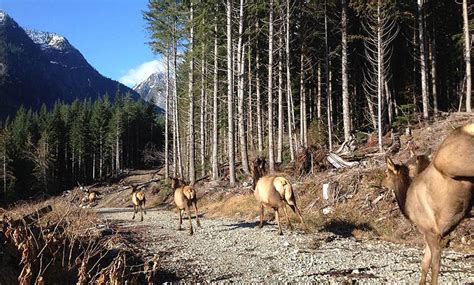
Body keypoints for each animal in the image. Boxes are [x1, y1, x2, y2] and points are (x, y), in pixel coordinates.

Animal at [382, 124, 474, 284]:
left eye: (386, 174)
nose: (381, 183)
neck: (406, 205)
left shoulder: (433, 233)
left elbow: (435, 267)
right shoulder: (428, 234)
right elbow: (424, 264)